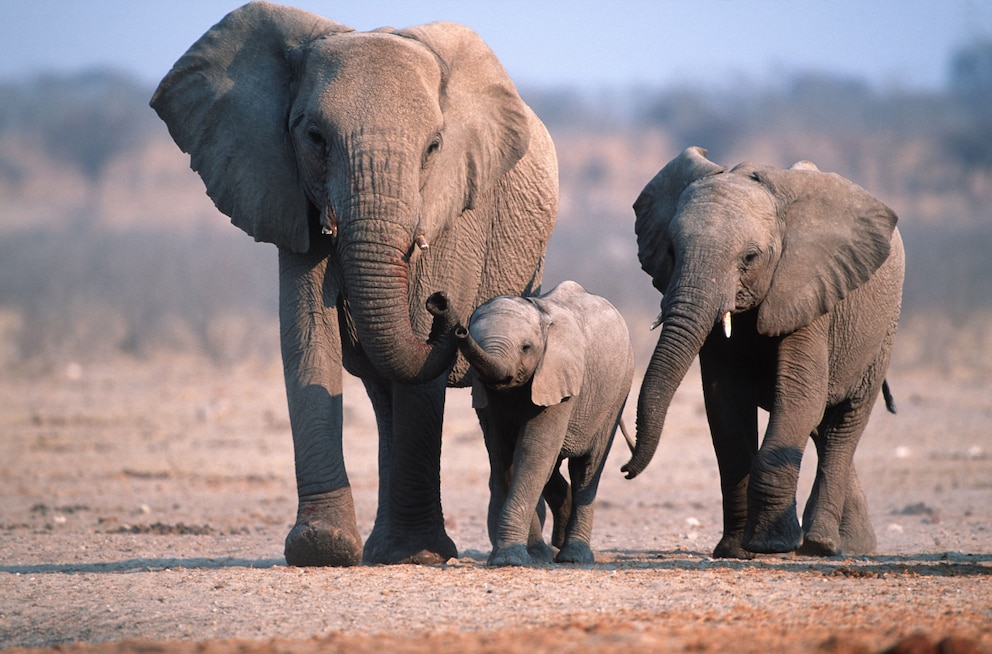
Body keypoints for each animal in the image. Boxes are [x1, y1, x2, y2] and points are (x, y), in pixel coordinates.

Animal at [153, 2, 560, 568]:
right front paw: (322, 548)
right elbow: (306, 332)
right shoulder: (287, 191)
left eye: (434, 146)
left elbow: (414, 367)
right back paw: (380, 550)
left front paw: (417, 557)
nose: (445, 309)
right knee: (382, 395)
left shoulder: (455, 208)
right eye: (315, 138)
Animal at [454, 280, 632, 568]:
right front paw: (532, 556)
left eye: (526, 347)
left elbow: (532, 451)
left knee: (587, 467)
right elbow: (503, 455)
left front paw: (510, 559)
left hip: (617, 392)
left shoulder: (558, 378)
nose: (459, 330)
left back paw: (574, 556)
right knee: (552, 468)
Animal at [624, 147, 904, 560]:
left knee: (842, 426)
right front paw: (734, 551)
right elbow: (725, 406)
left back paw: (821, 545)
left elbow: (799, 395)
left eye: (750, 258)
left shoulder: (807, 289)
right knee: (820, 426)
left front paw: (771, 545)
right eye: (672, 251)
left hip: (881, 332)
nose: (625, 468)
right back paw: (853, 544)